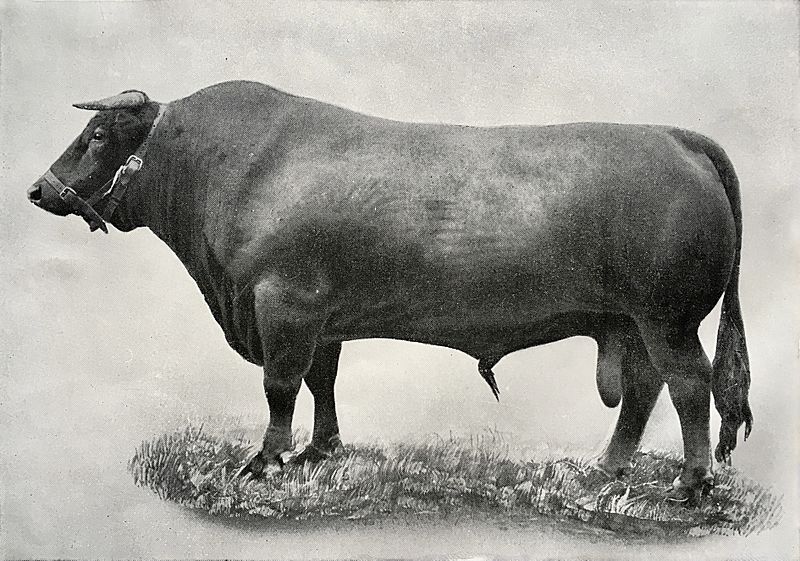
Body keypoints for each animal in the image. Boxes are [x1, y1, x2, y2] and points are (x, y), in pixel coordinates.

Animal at [27, 81, 752, 505]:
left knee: (689, 388)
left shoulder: (282, 304)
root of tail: (676, 136)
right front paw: (320, 451)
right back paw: (606, 470)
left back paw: (690, 484)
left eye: (97, 135)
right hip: (630, 320)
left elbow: (279, 386)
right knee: (643, 390)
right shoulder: (320, 317)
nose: (37, 189)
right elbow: (321, 380)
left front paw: (263, 461)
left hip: (667, 318)